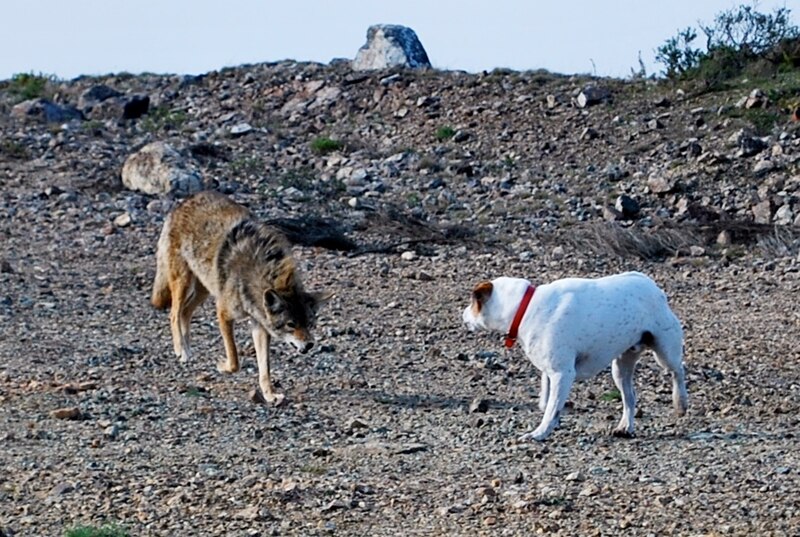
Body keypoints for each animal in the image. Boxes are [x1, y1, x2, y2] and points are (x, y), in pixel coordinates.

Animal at [462, 272, 688, 440]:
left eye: (473, 302)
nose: (462, 314)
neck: (524, 308)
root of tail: (652, 286)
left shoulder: (562, 373)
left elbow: (550, 408)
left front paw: (539, 433)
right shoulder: (551, 372)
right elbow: (548, 403)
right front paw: (551, 421)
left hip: (665, 352)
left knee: (678, 370)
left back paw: (680, 402)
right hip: (620, 369)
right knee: (630, 397)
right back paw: (625, 426)